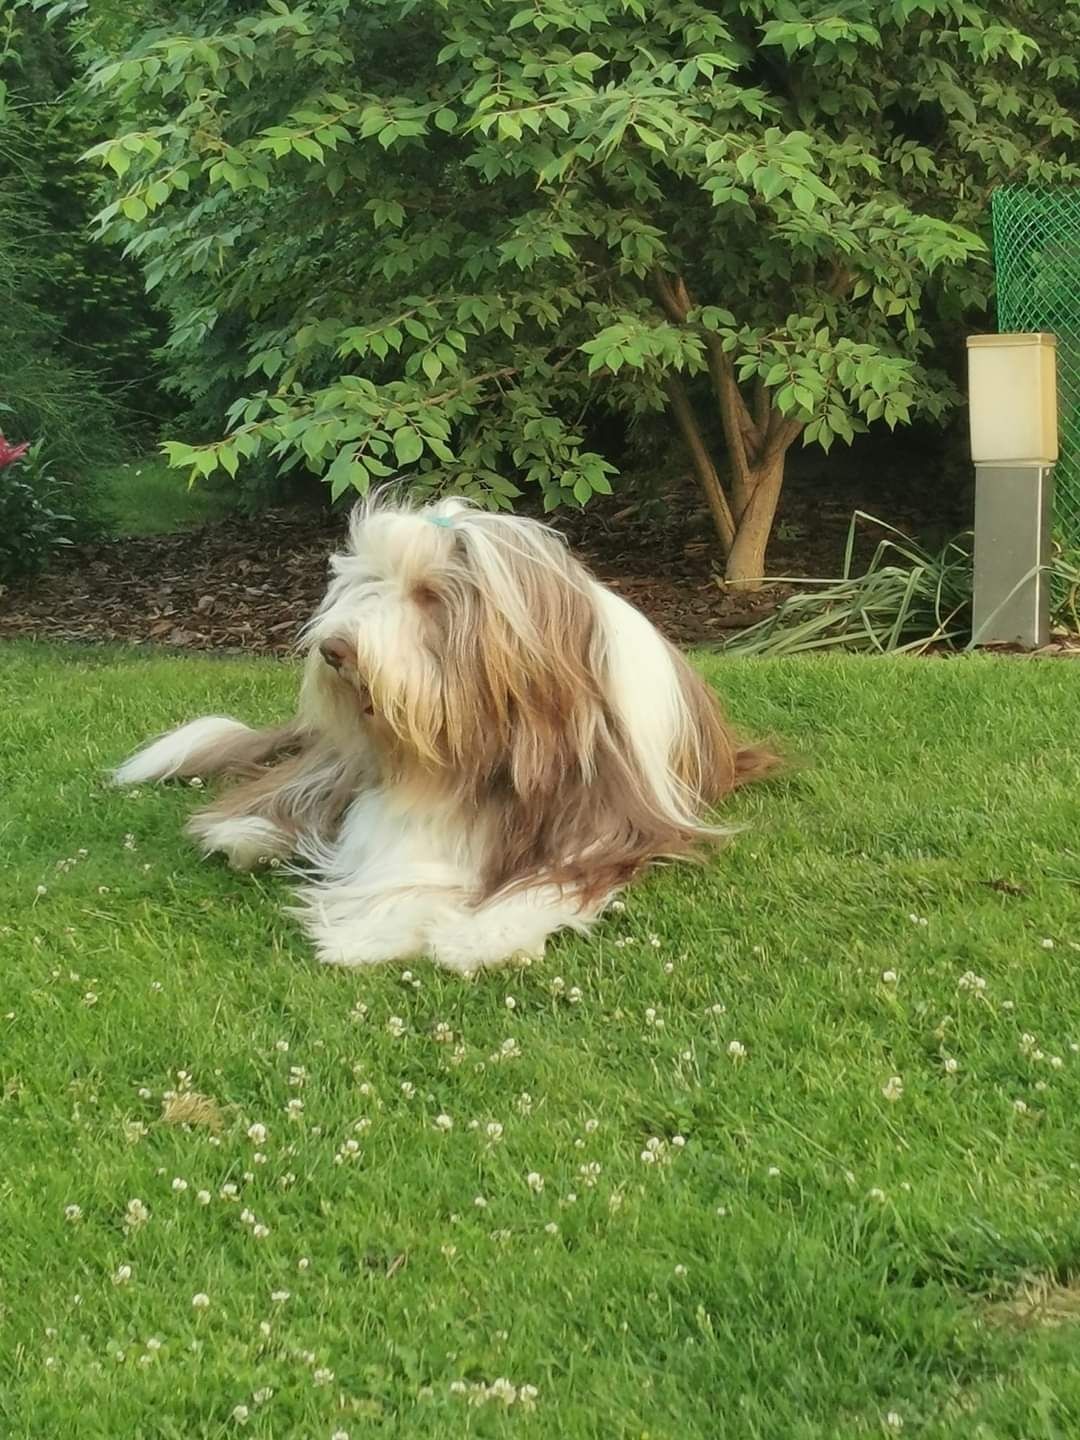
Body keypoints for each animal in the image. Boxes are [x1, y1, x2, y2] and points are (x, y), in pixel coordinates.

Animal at [116, 498, 777, 979]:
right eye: (369, 583)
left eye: (430, 596)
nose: (335, 650)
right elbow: (399, 861)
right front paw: (377, 925)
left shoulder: (617, 822)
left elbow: (552, 880)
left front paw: (483, 935)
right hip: (337, 760)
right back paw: (250, 834)